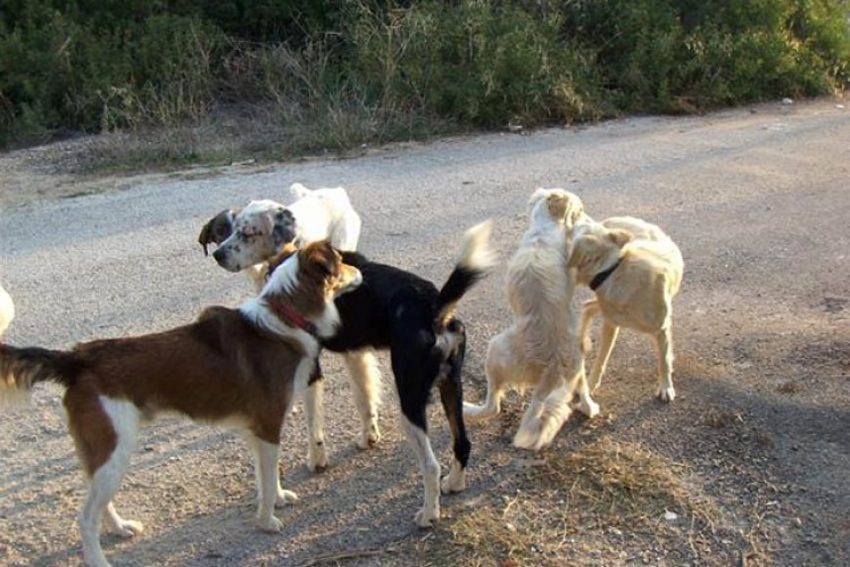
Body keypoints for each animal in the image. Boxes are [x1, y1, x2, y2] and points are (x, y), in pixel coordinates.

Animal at [0, 241, 362, 567]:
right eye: (341, 261)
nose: (360, 272)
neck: (284, 318)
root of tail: (78, 358)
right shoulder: (269, 426)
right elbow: (269, 479)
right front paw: (267, 521)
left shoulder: (255, 431)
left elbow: (267, 478)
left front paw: (280, 498)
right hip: (115, 449)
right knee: (86, 517)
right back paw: (99, 560)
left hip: (104, 454)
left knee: (97, 503)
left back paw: (119, 528)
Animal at [264, 221, 494, 528]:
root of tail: (432, 306)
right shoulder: (356, 354)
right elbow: (365, 400)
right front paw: (368, 438)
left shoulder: (312, 370)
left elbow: (314, 426)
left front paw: (317, 460)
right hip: (451, 388)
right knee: (463, 443)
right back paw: (454, 483)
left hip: (410, 401)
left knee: (431, 466)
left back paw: (429, 514)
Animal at [460, 190, 592, 452]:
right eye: (580, 210)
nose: (588, 219)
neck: (543, 230)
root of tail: (551, 370)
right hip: (577, 356)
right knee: (584, 394)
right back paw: (588, 405)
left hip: (495, 349)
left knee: (493, 406)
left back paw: (468, 408)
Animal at [568, 215, 684, 402]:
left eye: (581, 225)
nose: (576, 214)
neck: (612, 270)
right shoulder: (610, 323)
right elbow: (601, 358)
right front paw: (591, 384)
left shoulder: (661, 327)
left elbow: (664, 360)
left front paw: (666, 386)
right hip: (604, 307)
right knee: (587, 307)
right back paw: (581, 339)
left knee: (588, 306)